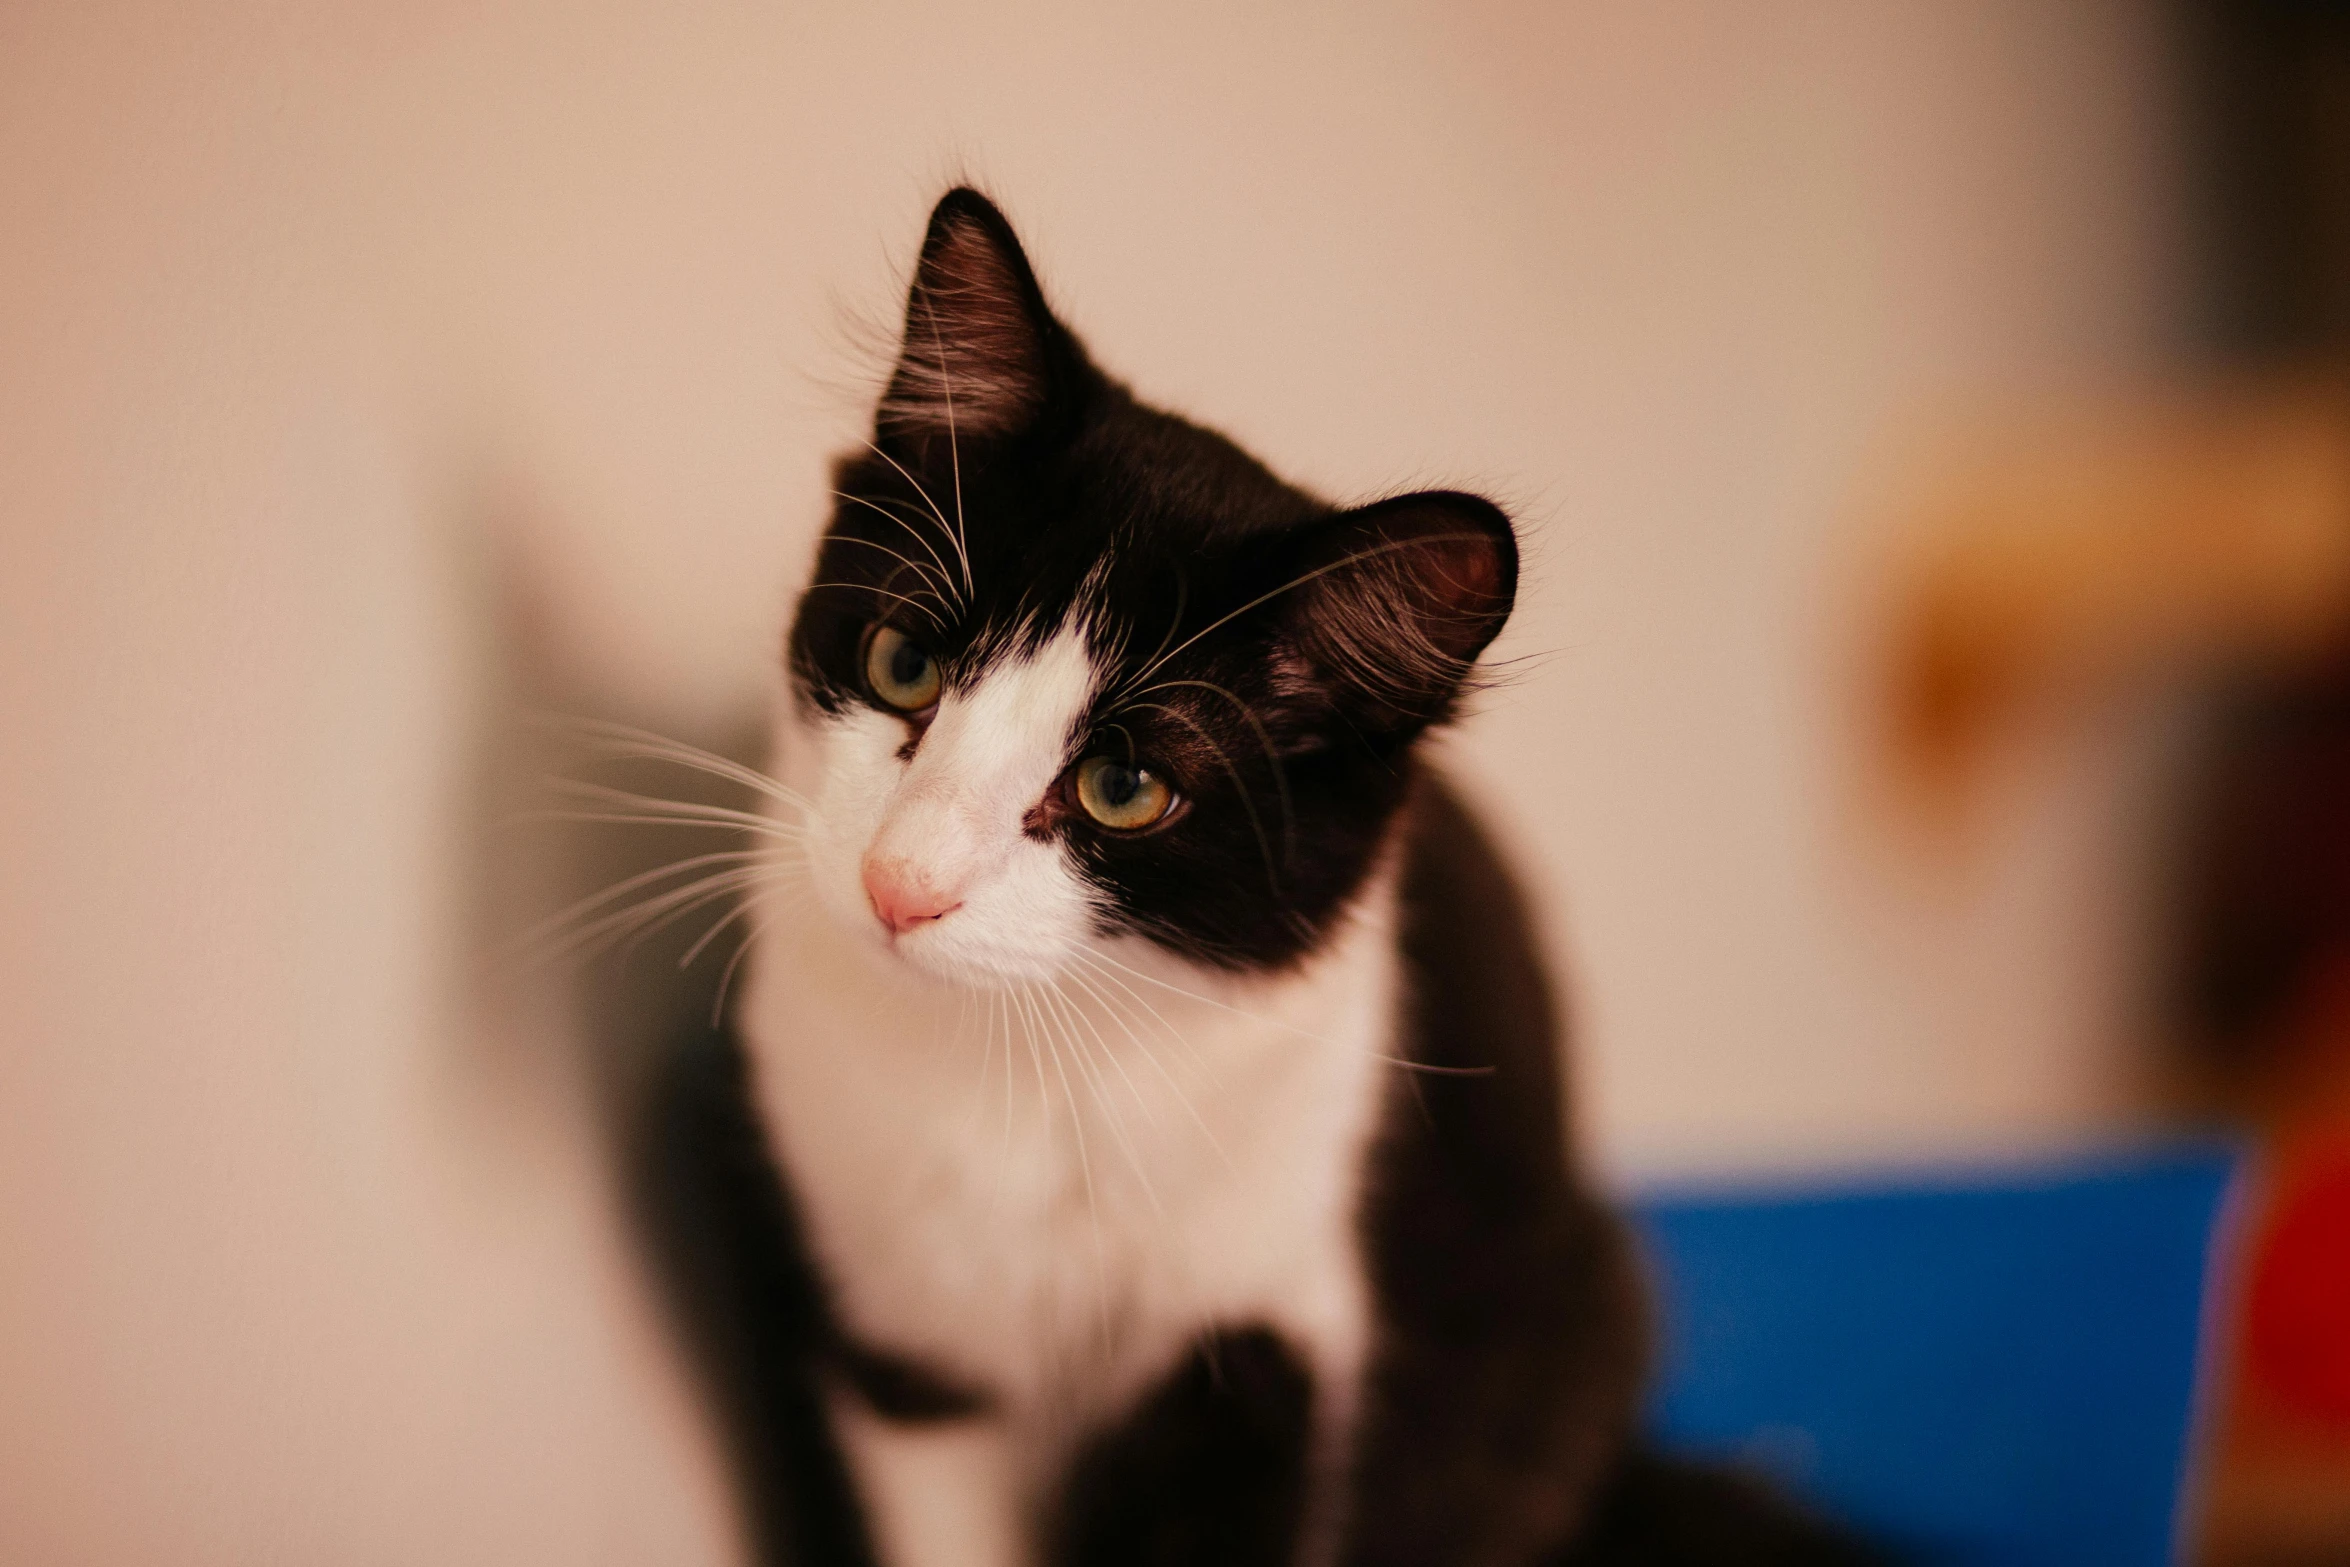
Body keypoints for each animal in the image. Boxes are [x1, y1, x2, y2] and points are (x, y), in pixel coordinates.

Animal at [634, 186, 1879, 1567]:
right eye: (902, 662)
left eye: (1125, 789)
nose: (901, 881)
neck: (1009, 1074)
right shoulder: (898, 1332)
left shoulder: (1265, 1324)